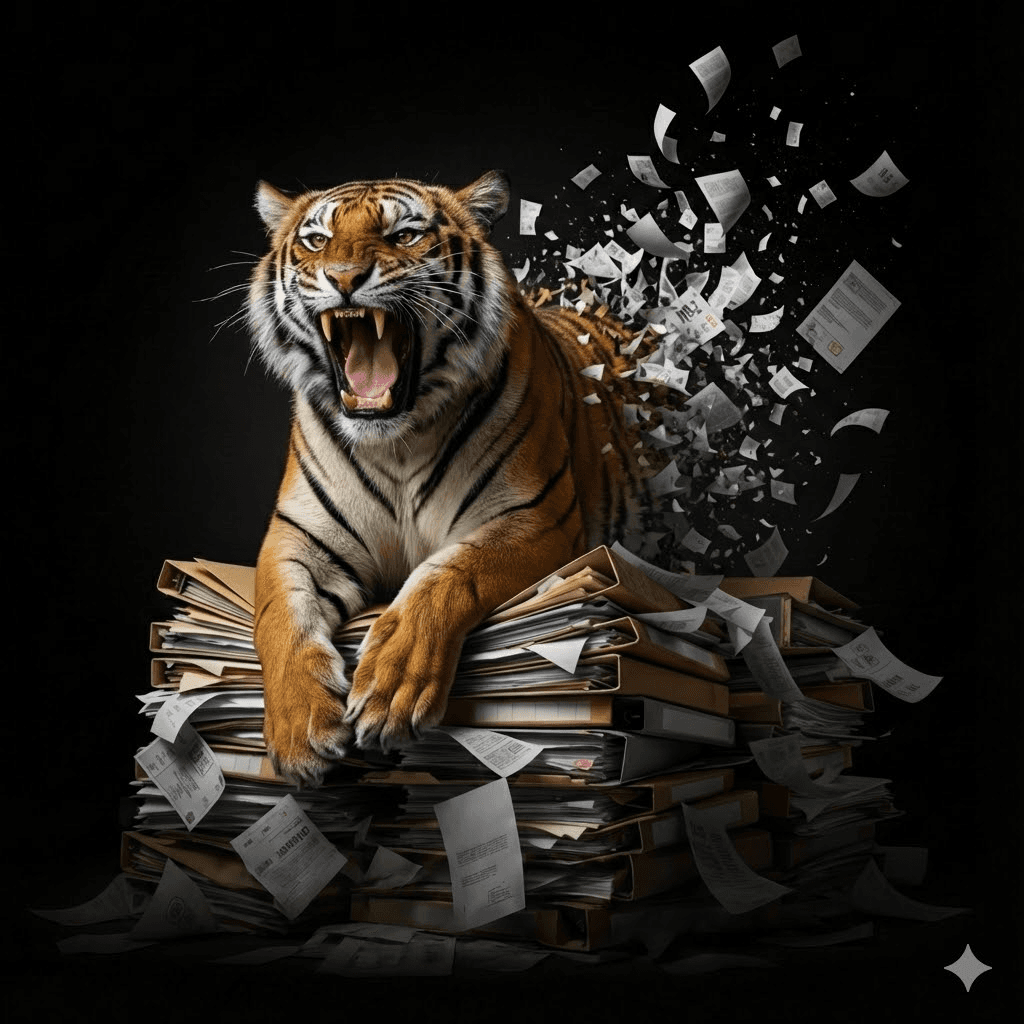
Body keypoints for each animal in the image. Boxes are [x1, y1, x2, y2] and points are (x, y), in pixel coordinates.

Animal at [246, 169, 653, 786]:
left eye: (405, 234)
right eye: (317, 241)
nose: (343, 278)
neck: (395, 441)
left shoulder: (536, 521)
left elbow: (448, 576)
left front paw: (391, 688)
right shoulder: (298, 538)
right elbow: (279, 619)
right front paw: (300, 729)